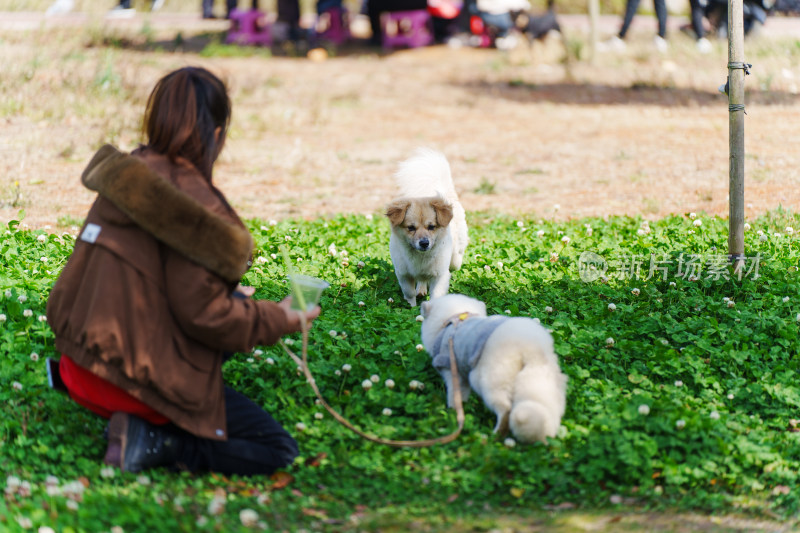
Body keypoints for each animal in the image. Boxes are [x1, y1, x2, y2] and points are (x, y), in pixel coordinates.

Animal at [382, 150, 466, 306]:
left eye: (431, 226)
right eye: (410, 228)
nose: (424, 243)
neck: (420, 257)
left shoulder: (440, 276)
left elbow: (436, 296)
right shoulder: (403, 274)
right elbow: (409, 293)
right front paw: (412, 307)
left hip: (455, 259)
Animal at [418, 294, 568, 442]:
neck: (455, 317)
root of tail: (531, 347)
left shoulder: (453, 372)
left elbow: (456, 398)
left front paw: (453, 414)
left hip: (488, 380)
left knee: (505, 409)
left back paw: (494, 435)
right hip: (542, 383)